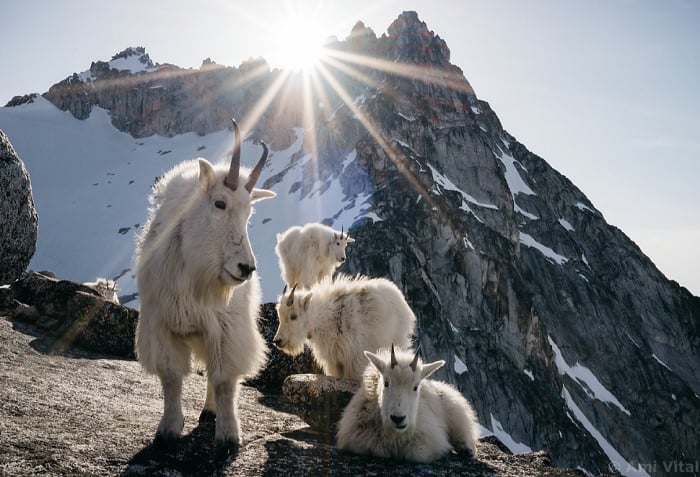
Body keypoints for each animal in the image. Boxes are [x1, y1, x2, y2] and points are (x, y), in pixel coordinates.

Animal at [135, 119, 275, 449]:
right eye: (220, 203)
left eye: (249, 212)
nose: (245, 268)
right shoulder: (161, 324)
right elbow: (171, 377)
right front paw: (168, 429)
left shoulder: (227, 328)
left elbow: (224, 380)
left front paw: (229, 435)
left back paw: (210, 411)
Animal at [273, 274, 415, 380]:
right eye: (280, 315)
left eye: (294, 316)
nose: (277, 341)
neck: (325, 318)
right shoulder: (334, 362)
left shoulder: (354, 359)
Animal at [336, 345, 479, 463]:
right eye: (386, 383)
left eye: (415, 387)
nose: (398, 418)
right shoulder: (356, 437)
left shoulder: (429, 438)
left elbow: (417, 453)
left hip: (454, 410)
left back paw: (466, 449)